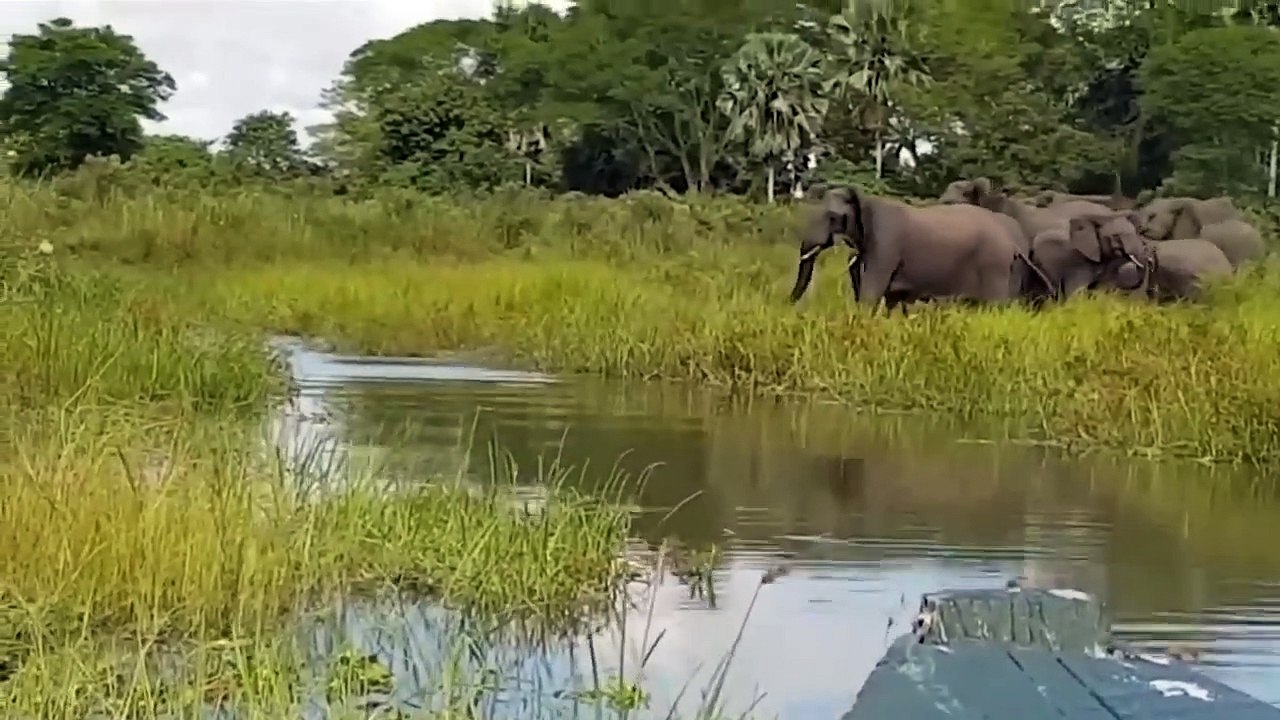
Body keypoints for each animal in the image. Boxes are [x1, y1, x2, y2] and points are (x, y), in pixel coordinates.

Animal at [789, 185, 1055, 311]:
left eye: (833, 217)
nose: (788, 306)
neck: (865, 199)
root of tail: (1012, 242)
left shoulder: (887, 240)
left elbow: (872, 290)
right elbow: (890, 297)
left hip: (994, 264)